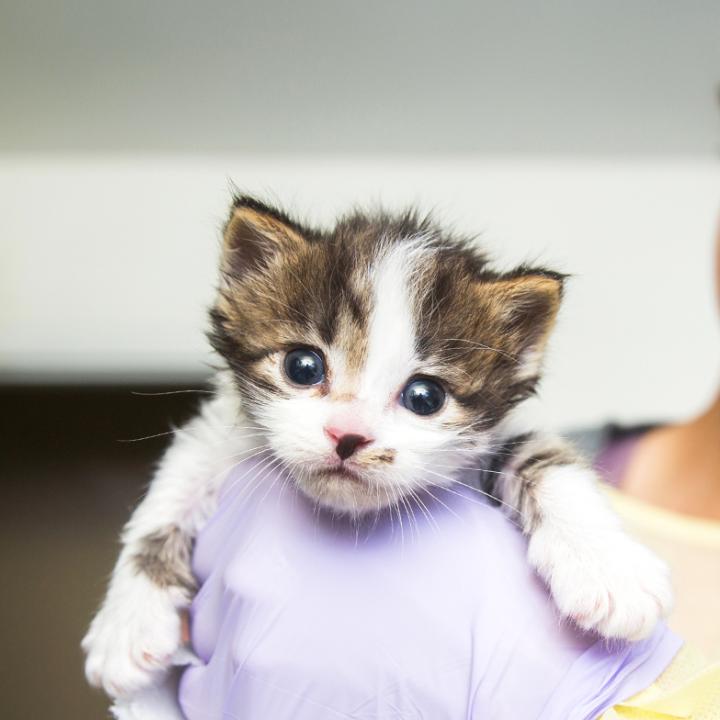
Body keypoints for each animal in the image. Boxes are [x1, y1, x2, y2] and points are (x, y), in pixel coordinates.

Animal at [81, 197, 672, 708]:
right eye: (303, 366)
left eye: (424, 397)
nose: (349, 435)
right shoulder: (220, 435)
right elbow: (171, 490)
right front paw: (126, 624)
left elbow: (545, 457)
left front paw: (606, 568)